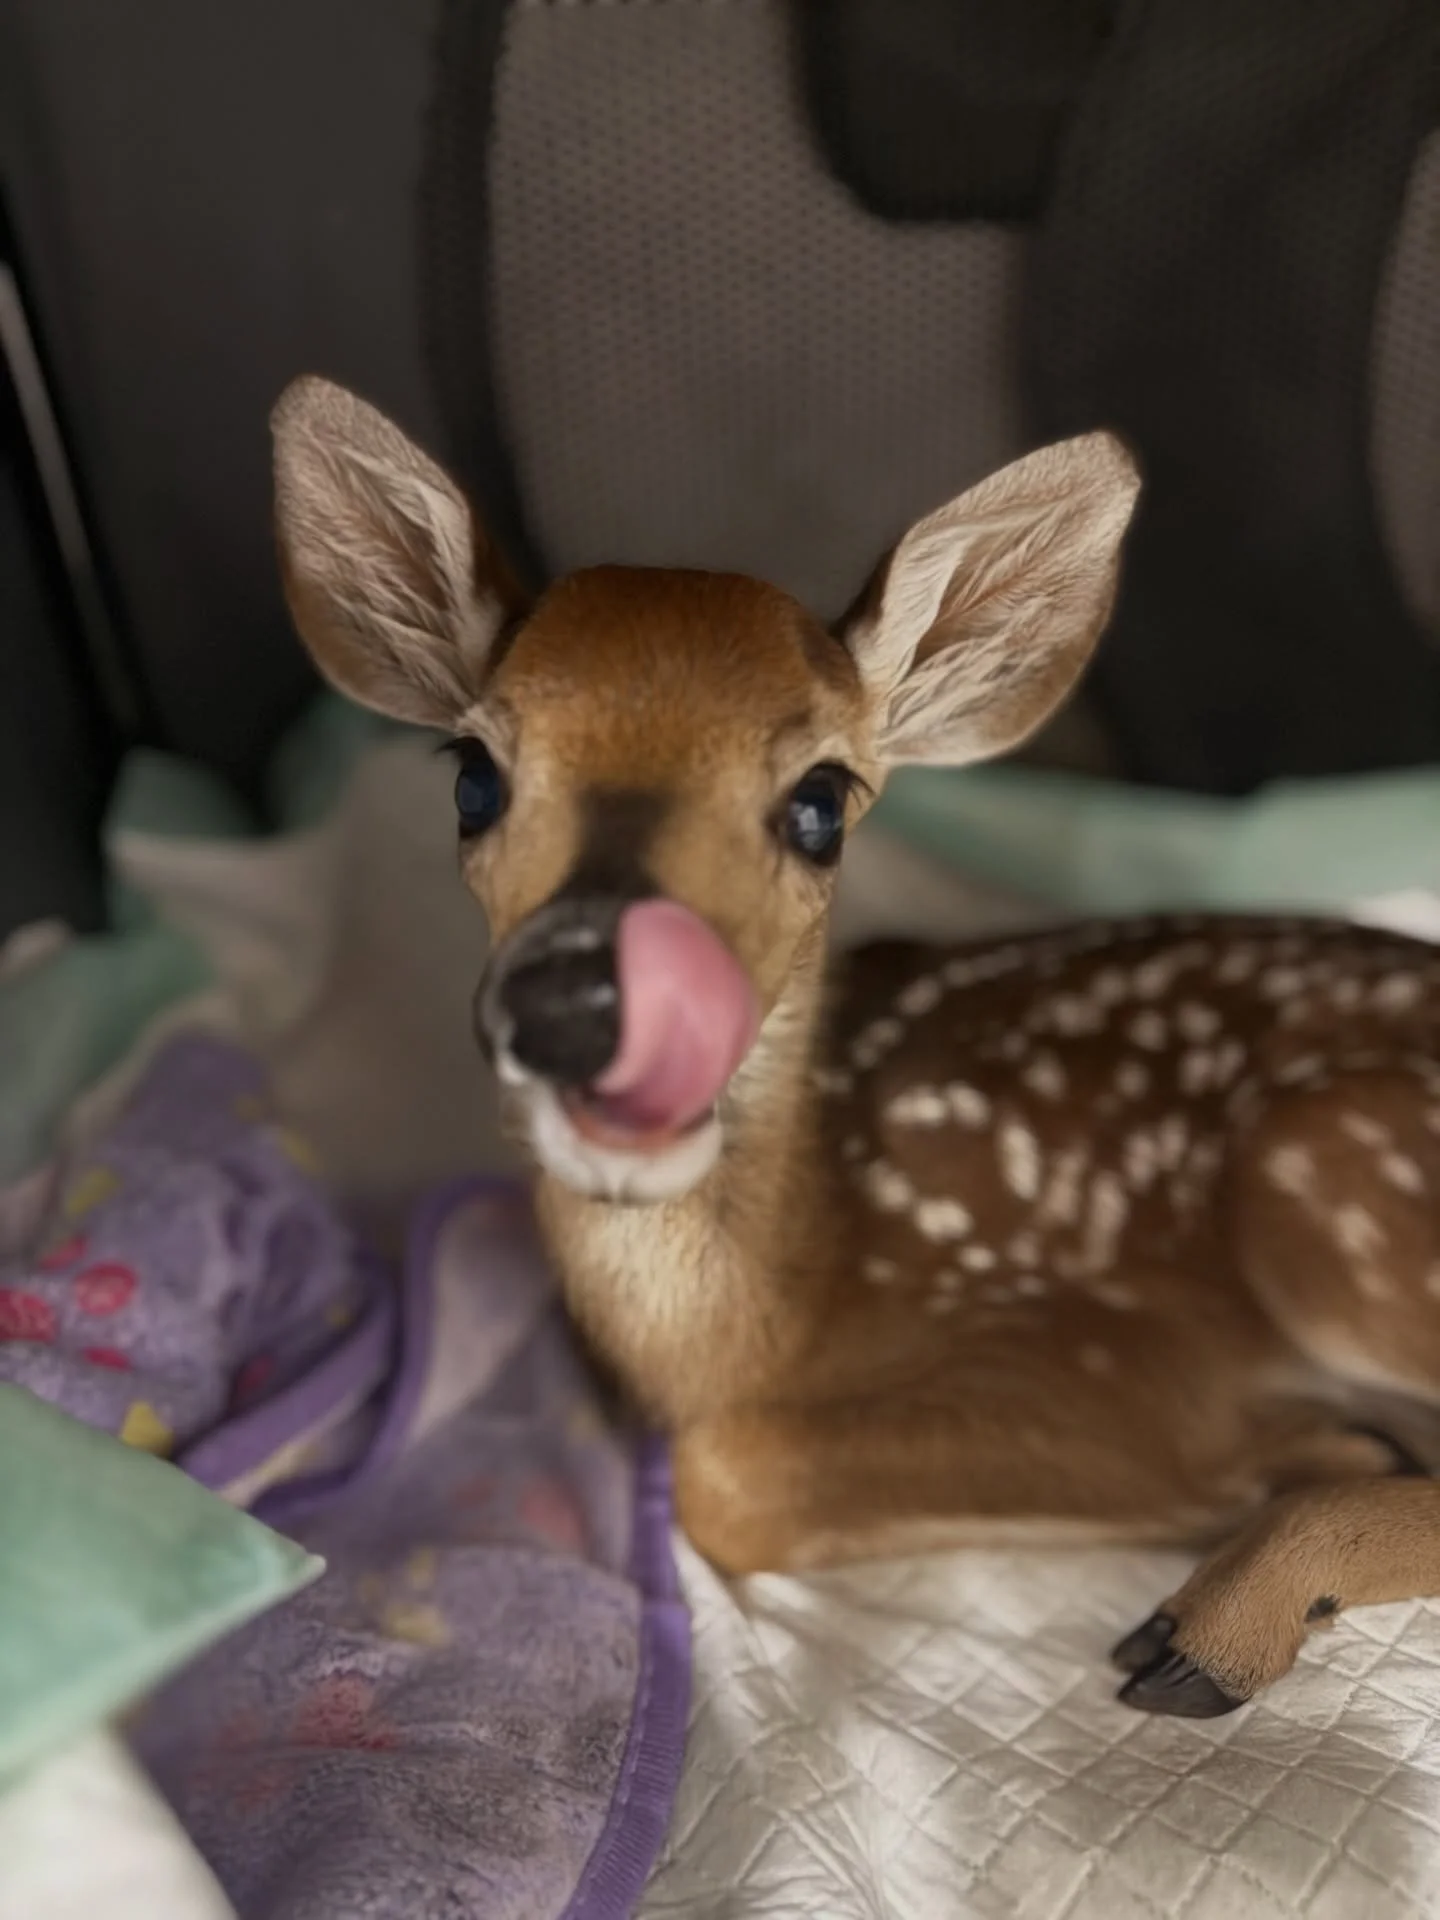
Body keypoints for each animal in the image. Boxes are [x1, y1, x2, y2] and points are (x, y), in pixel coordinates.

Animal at [270, 375, 1440, 1719]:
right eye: (474, 777)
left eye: (821, 801)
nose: (577, 1000)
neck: (768, 1324)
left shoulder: (1114, 1340)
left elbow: (723, 1477)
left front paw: (1296, 1446)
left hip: (1321, 1166)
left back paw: (1221, 1621)